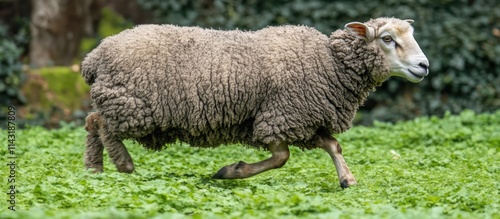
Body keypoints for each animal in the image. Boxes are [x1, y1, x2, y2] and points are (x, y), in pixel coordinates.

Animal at [83, 17, 430, 188]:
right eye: (387, 39)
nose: (424, 66)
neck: (329, 63)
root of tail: (94, 56)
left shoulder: (303, 120)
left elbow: (333, 146)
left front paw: (347, 180)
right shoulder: (278, 116)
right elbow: (281, 158)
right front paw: (230, 171)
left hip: (122, 101)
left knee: (91, 122)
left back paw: (93, 169)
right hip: (131, 104)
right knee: (101, 125)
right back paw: (122, 165)